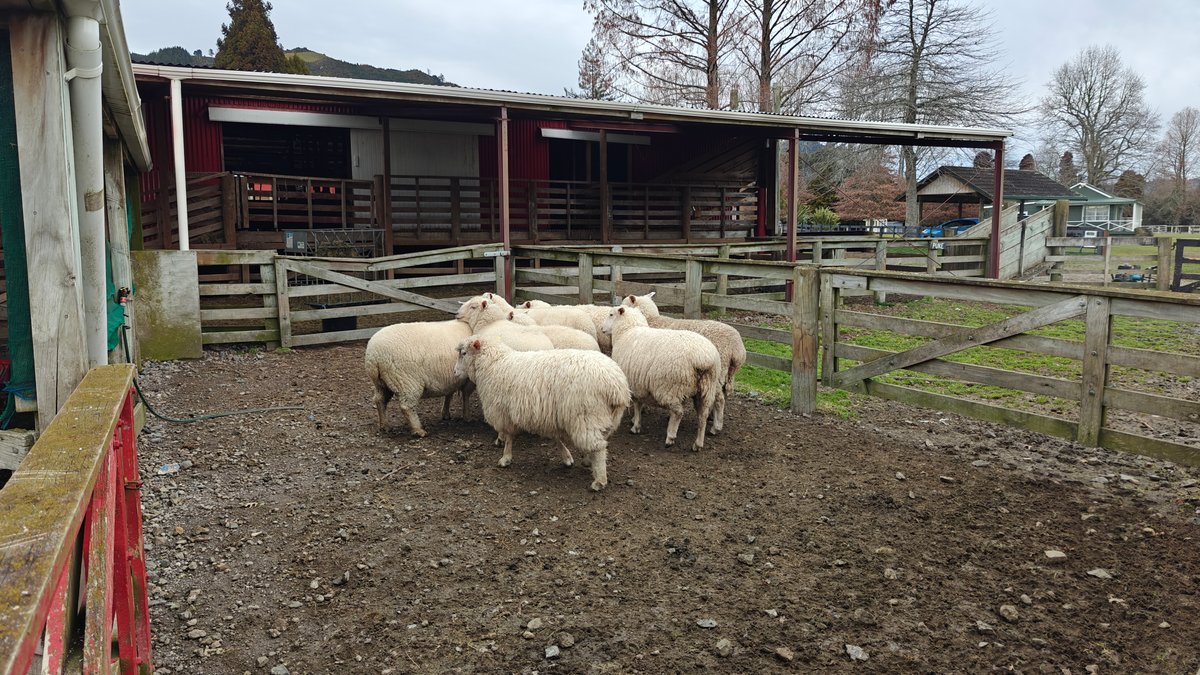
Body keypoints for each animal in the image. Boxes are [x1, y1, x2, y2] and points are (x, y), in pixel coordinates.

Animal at [454, 336, 630, 491]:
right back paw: (589, 461)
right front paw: (567, 458)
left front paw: (505, 458)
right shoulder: (548, 415)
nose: (454, 372)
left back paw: (599, 481)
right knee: (599, 442)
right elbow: (556, 437)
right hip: (606, 418)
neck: (493, 364)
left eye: (463, 353)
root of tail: (616, 386)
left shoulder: (503, 412)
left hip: (586, 416)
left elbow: (509, 437)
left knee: (598, 448)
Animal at [601, 305, 721, 451]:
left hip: (671, 387)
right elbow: (639, 403)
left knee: (678, 412)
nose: (602, 329)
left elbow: (637, 404)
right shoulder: (638, 382)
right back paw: (698, 444)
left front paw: (636, 426)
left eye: (611, 314)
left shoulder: (633, 383)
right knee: (703, 415)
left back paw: (670, 438)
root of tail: (703, 358)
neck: (627, 330)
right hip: (706, 388)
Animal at [620, 292, 746, 435]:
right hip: (728, 374)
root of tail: (736, 348)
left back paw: (715, 427)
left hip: (718, 372)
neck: (652, 319)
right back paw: (712, 418)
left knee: (719, 399)